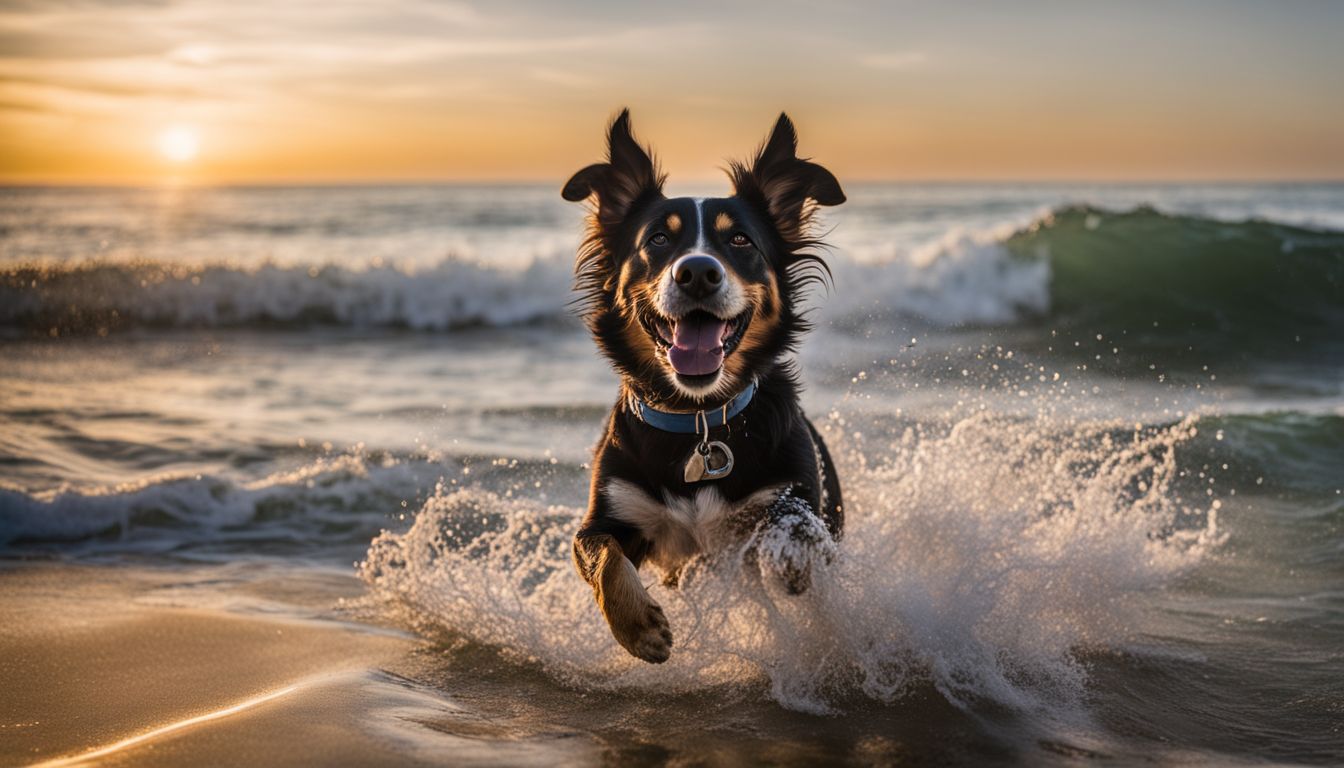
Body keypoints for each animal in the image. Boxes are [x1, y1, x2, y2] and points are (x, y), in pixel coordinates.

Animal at [561, 110, 844, 664]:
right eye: (657, 240)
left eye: (740, 241)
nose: (696, 272)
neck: (699, 419)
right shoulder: (610, 514)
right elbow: (602, 556)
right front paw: (639, 627)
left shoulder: (792, 497)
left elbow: (792, 525)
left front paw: (789, 561)